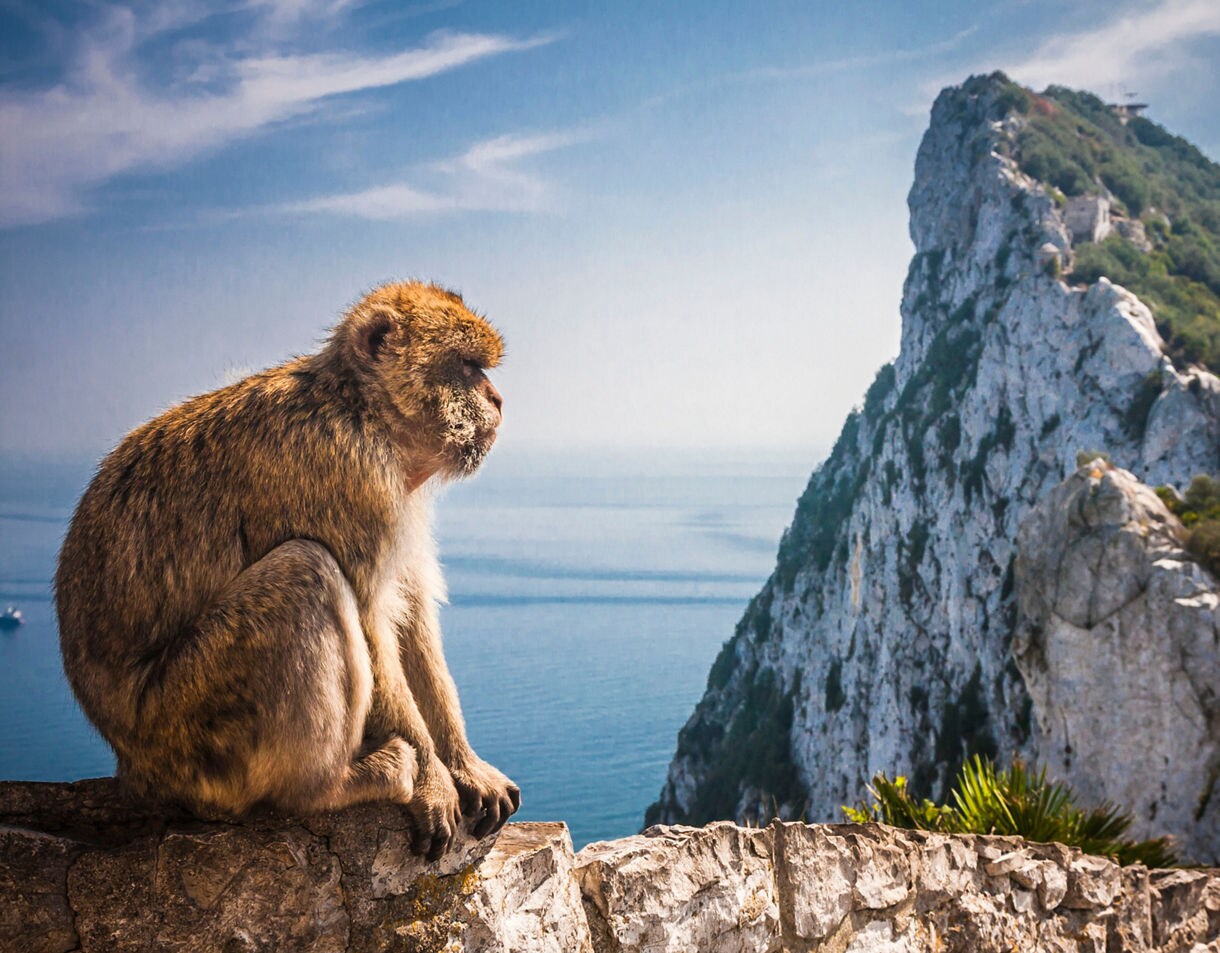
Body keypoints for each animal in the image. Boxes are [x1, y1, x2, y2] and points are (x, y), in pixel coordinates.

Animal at [55, 281, 520, 860]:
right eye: (466, 366)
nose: (498, 399)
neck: (361, 411)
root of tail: (132, 766)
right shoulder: (349, 475)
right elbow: (372, 622)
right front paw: (434, 781)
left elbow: (411, 616)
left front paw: (464, 764)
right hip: (188, 730)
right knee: (306, 571)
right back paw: (330, 786)